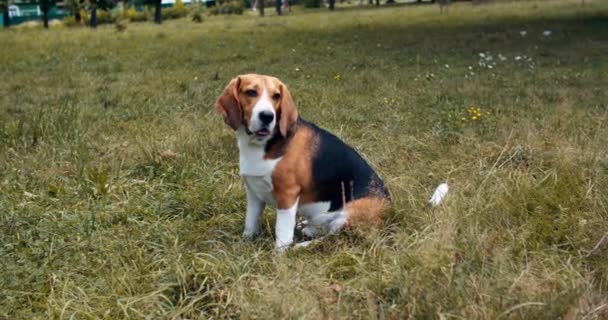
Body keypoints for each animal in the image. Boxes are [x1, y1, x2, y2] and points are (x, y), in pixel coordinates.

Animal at [214, 74, 390, 250]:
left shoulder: (287, 195)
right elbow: (250, 222)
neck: (261, 145)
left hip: (348, 214)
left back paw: (301, 246)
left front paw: (280, 253)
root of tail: (389, 208)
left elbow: (282, 231)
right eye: (250, 92)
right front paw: (245, 242)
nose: (268, 116)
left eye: (276, 96)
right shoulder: (253, 192)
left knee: (334, 238)